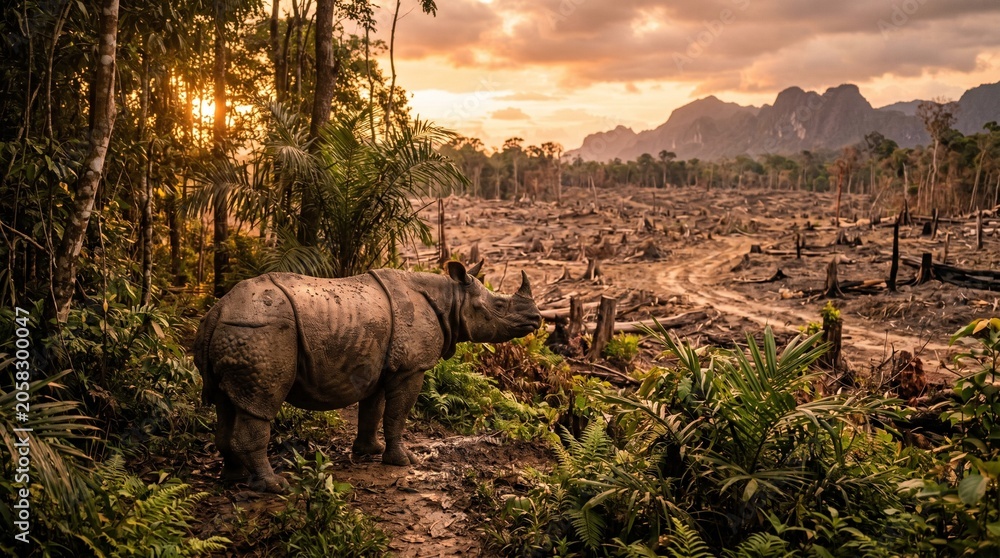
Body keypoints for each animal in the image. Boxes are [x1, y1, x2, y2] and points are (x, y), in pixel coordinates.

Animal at [192, 260, 541, 492]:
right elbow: (397, 414)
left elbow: (373, 410)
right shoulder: (411, 368)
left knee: (227, 401)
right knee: (261, 403)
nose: (537, 318)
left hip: (238, 331)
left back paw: (235, 478)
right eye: (500, 305)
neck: (451, 299)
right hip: (261, 331)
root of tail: (217, 312)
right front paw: (403, 461)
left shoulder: (381, 363)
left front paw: (369, 451)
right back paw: (275, 485)